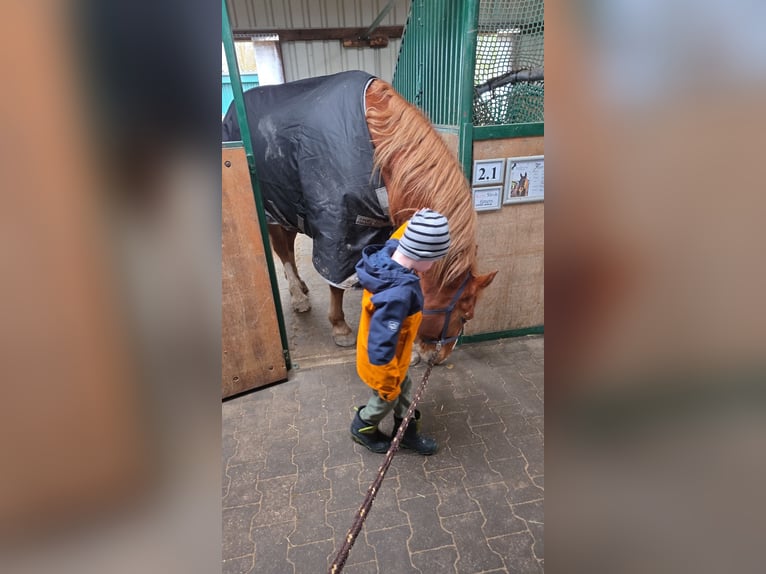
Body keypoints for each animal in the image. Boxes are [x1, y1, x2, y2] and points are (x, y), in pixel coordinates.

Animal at [222, 71, 496, 363]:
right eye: (465, 316)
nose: (439, 357)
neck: (380, 150)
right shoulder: (339, 232)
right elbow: (337, 284)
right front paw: (340, 327)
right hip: (272, 211)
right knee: (282, 251)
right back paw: (298, 297)